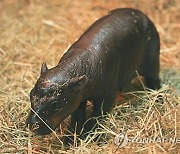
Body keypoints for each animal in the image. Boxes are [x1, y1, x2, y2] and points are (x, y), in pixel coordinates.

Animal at [25, 8, 160, 136]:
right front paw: (70, 138)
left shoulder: (107, 95)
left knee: (154, 80)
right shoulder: (78, 97)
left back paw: (157, 98)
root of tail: (143, 14)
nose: (32, 125)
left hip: (152, 63)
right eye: (31, 94)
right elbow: (77, 117)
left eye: (55, 103)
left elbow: (98, 115)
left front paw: (90, 134)